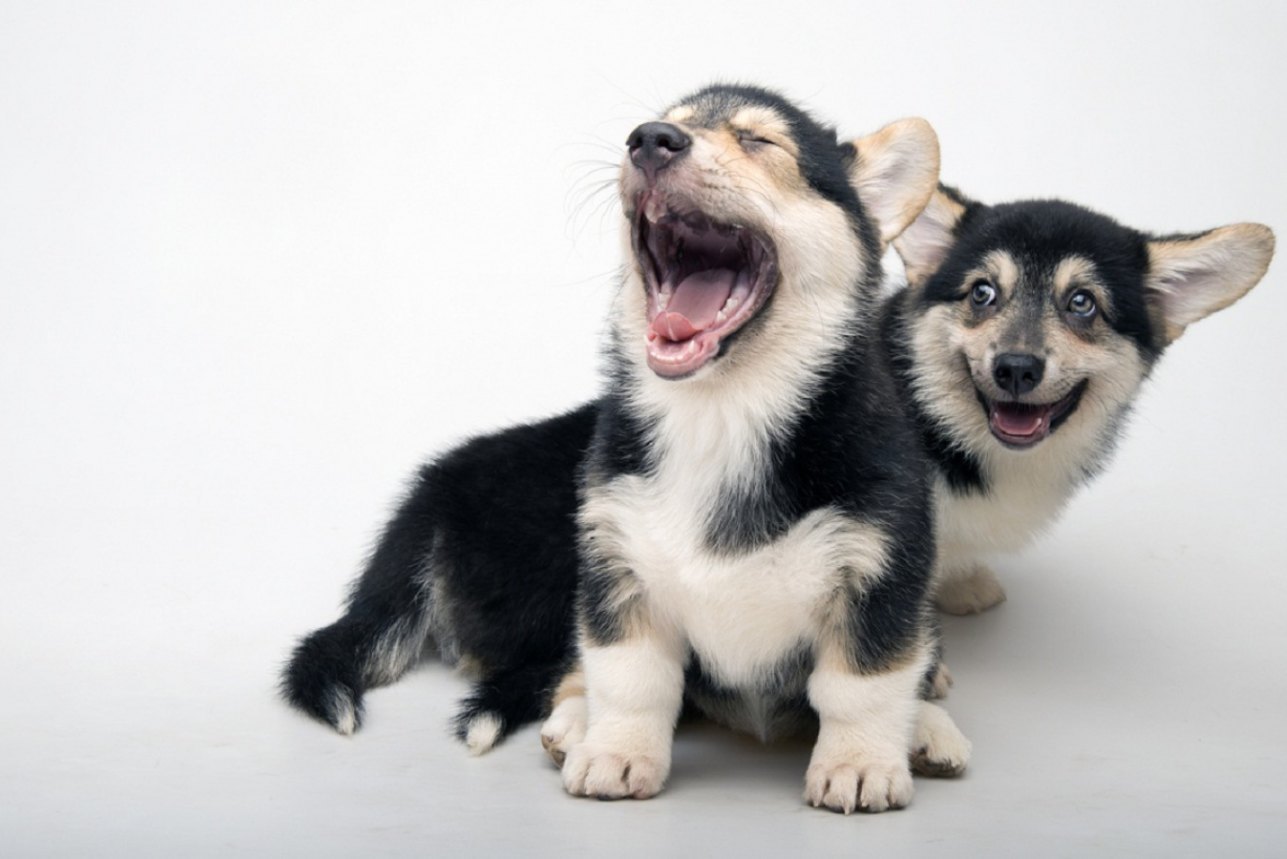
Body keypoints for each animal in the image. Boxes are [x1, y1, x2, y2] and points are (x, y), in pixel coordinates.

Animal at [283, 84, 965, 814]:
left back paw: (926, 724)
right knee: (558, 670)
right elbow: (632, 678)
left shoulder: (880, 567)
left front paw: (859, 762)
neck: (720, 414)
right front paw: (616, 752)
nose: (650, 140)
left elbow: (860, 683)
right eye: (663, 122)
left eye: (759, 141)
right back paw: (574, 724)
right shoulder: (616, 568)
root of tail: (431, 492)